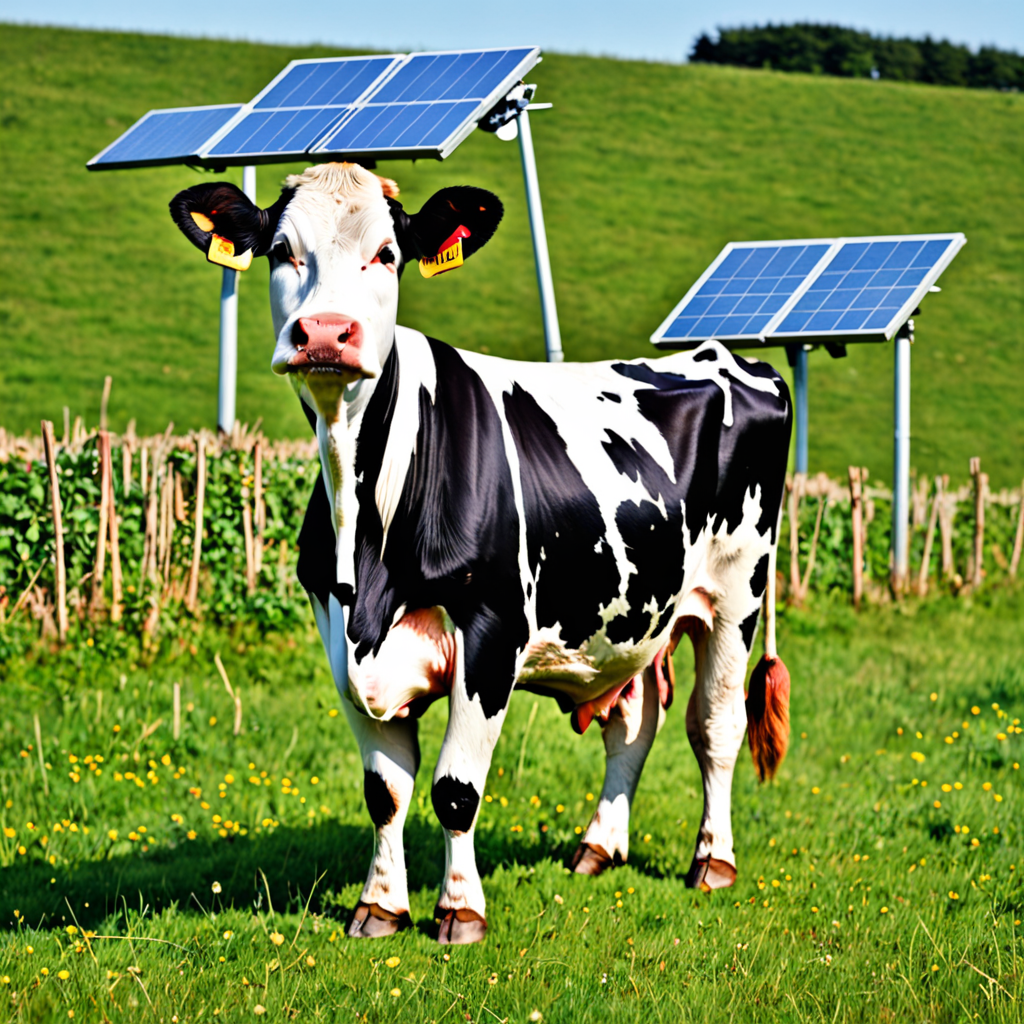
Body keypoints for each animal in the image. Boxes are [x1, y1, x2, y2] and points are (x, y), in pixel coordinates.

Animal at [169, 162, 792, 945]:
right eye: (281, 250)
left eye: (387, 254)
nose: (326, 334)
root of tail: (731, 356)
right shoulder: (338, 638)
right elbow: (384, 791)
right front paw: (380, 905)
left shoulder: (491, 632)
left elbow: (454, 789)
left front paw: (459, 910)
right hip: (634, 612)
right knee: (633, 722)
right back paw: (599, 847)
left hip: (737, 592)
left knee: (715, 727)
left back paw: (712, 862)